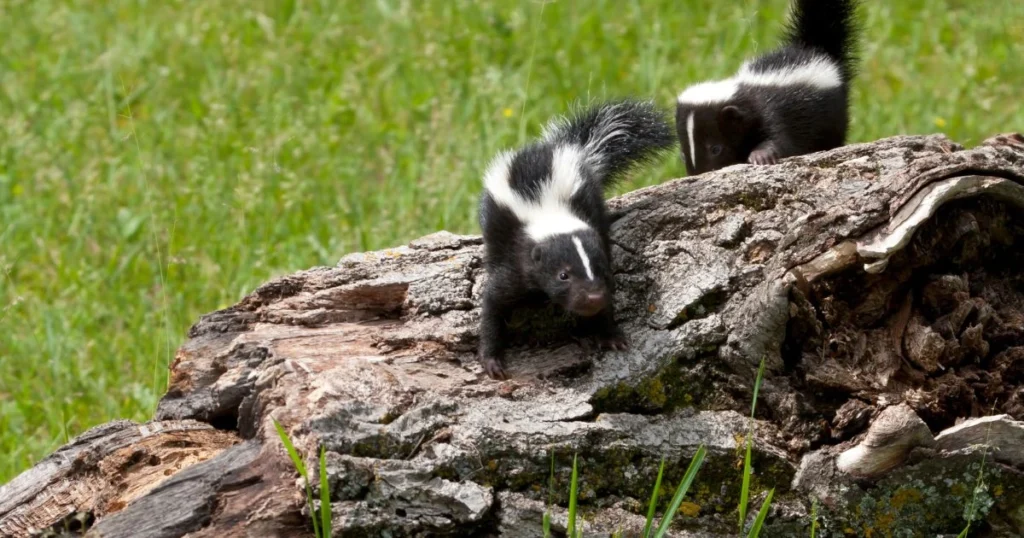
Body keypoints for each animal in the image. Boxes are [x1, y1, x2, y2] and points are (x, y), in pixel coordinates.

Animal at [475, 99, 675, 377]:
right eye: (563, 275)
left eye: (601, 270)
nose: (592, 297)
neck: (547, 209)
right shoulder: (514, 261)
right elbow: (493, 304)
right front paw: (492, 360)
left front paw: (610, 334)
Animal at [675, 0, 860, 174]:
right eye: (683, 155)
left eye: (715, 149)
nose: (699, 173)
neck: (746, 93)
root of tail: (813, 49)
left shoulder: (772, 111)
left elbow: (781, 139)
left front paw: (760, 155)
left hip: (832, 115)